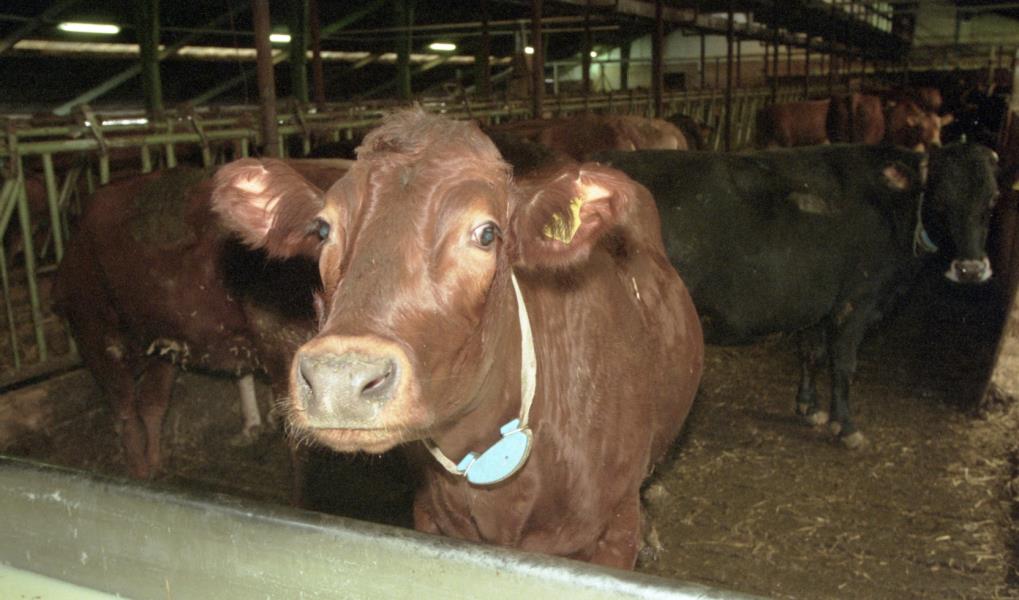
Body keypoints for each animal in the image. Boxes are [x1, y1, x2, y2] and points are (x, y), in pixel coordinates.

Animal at [52, 160, 349, 480]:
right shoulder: (281, 345)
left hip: (162, 337)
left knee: (151, 402)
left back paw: (155, 466)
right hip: (93, 327)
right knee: (125, 408)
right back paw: (139, 472)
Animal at [593, 143, 1000, 448]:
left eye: (992, 201)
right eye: (940, 198)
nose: (971, 268)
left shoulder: (815, 303)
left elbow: (811, 353)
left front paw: (808, 406)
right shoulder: (857, 301)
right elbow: (844, 362)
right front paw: (845, 425)